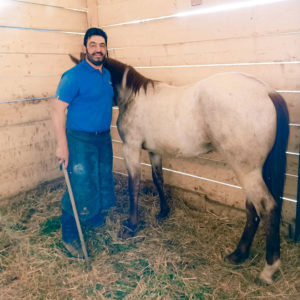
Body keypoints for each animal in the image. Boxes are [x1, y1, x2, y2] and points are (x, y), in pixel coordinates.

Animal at [69, 55, 290, 284]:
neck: (134, 97)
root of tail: (267, 91)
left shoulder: (131, 148)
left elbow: (134, 185)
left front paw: (131, 226)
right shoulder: (154, 151)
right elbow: (158, 179)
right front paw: (163, 212)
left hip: (247, 171)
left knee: (266, 207)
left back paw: (268, 268)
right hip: (255, 171)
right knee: (253, 208)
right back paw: (239, 254)